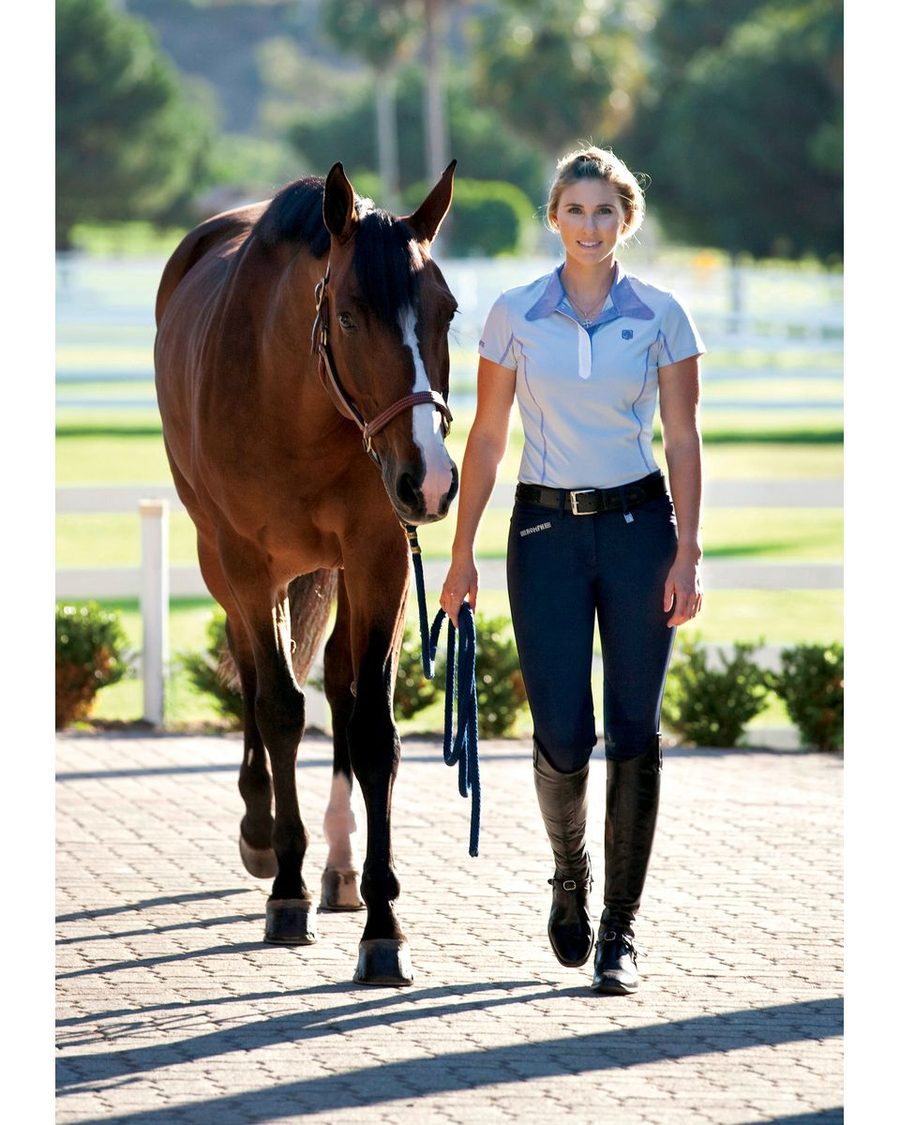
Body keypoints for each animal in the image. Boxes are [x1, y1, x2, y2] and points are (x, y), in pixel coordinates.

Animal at [154, 161, 460, 985]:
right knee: (255, 678)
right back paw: (263, 829)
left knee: (342, 690)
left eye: (448, 311)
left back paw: (342, 866)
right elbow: (280, 708)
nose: (430, 481)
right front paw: (285, 886)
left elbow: (371, 727)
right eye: (349, 317)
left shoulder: (378, 556)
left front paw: (384, 925)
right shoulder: (246, 563)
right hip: (222, 561)